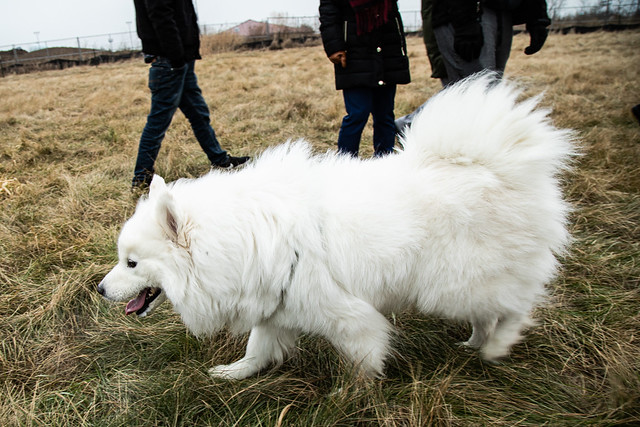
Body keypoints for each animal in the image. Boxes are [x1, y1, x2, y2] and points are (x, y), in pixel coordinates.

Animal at [99, 75, 576, 380]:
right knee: (489, 311)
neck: (240, 238)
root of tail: (493, 166)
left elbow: (364, 359)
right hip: (458, 285)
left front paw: (359, 396)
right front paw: (233, 374)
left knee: (515, 308)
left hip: (453, 283)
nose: (100, 290)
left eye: (132, 263)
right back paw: (476, 344)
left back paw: (496, 346)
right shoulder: (275, 307)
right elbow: (257, 349)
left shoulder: (348, 315)